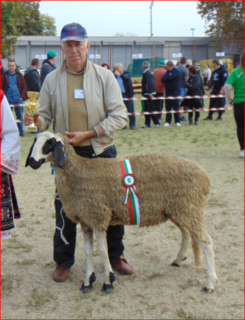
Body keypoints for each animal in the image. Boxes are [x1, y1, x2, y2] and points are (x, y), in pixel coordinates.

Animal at [25, 132, 217, 296]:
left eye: (50, 143)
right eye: (35, 142)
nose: (33, 162)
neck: (78, 172)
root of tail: (205, 175)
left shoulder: (98, 216)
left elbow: (103, 251)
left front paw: (108, 282)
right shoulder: (86, 219)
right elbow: (88, 251)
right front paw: (88, 281)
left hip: (191, 209)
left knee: (207, 242)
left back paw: (210, 283)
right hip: (178, 210)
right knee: (186, 233)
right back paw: (178, 259)